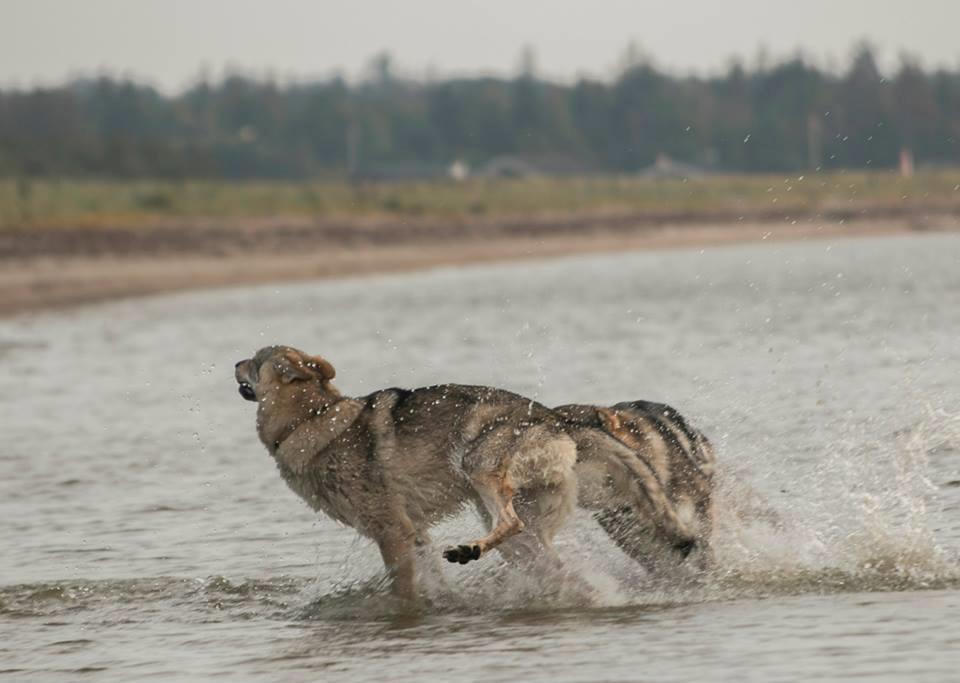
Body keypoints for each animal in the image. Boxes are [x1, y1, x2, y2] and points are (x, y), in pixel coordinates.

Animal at [232, 348, 696, 600]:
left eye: (253, 361)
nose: (233, 362)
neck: (310, 419)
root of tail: (559, 421)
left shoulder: (392, 532)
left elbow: (404, 591)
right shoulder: (414, 532)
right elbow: (432, 581)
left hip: (478, 469)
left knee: (510, 523)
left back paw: (469, 551)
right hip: (524, 542)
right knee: (559, 569)